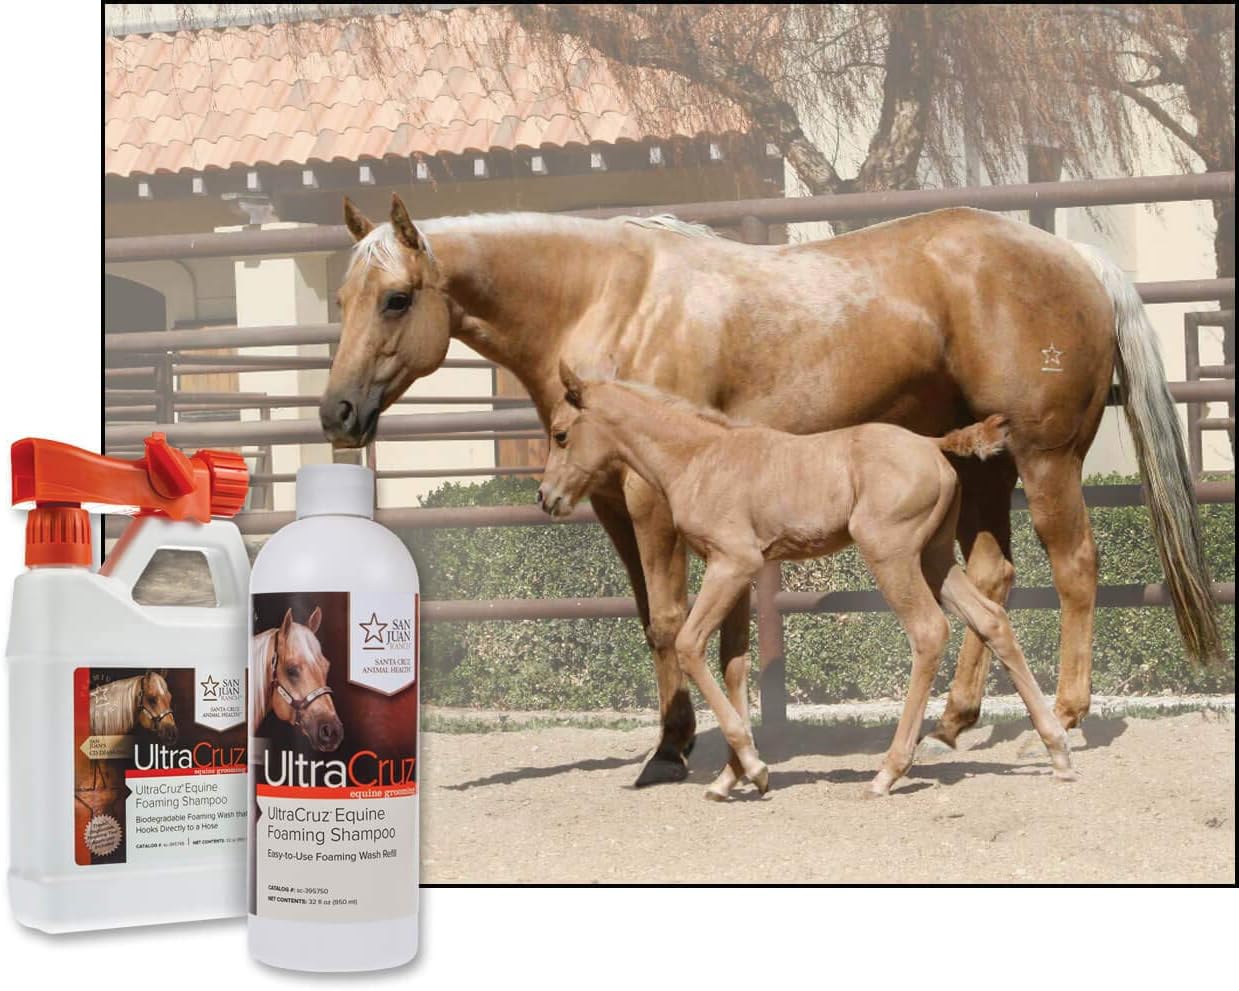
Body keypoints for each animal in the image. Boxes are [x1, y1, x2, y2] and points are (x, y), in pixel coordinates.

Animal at [538, 365, 1076, 799]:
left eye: (561, 434)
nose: (546, 497)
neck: (699, 457)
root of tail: (931, 444)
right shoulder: (737, 571)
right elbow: (734, 664)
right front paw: (731, 777)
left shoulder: (731, 563)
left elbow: (690, 645)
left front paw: (754, 768)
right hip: (934, 558)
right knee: (992, 619)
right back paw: (1058, 752)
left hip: (892, 555)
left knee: (928, 632)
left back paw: (888, 771)